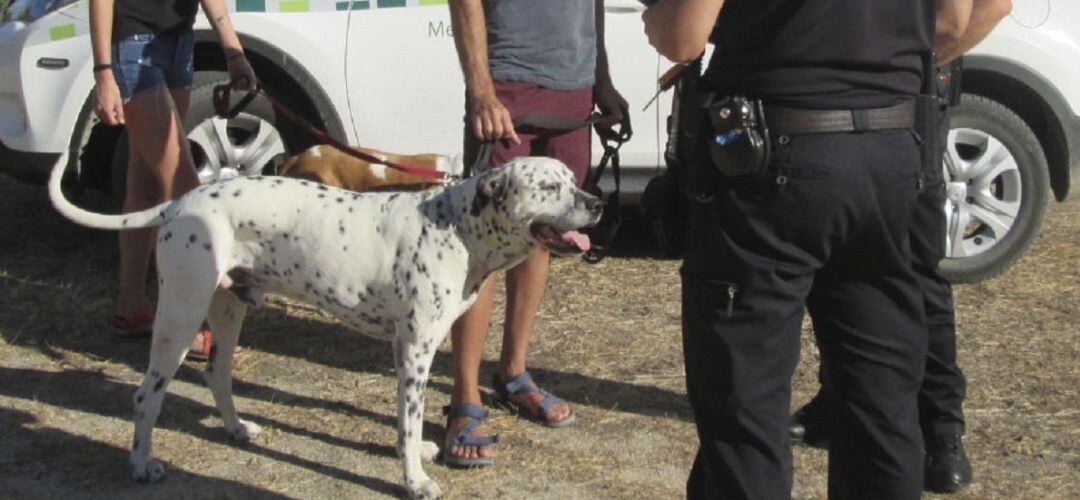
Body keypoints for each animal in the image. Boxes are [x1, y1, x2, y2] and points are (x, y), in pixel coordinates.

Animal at [46, 154, 604, 498]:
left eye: (572, 179)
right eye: (548, 187)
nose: (597, 202)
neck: (457, 226)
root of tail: (183, 202)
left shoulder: (410, 350)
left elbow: (407, 424)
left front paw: (415, 454)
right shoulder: (414, 351)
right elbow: (410, 419)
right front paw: (414, 480)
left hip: (228, 310)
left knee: (217, 374)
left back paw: (237, 428)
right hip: (180, 315)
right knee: (147, 395)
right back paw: (142, 465)